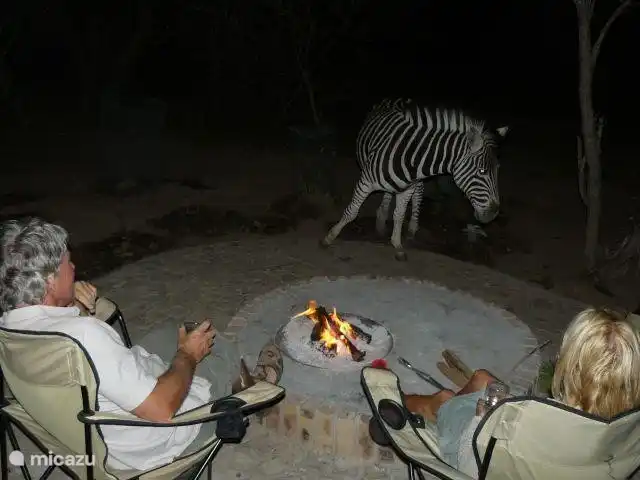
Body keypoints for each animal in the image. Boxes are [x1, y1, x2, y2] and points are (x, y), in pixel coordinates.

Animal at [321, 98, 509, 260]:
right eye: (482, 171)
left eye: (498, 170)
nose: (493, 213)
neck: (410, 156)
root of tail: (397, 99)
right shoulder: (366, 181)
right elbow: (352, 211)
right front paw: (329, 237)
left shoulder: (408, 189)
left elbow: (399, 215)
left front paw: (397, 245)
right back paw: (381, 219)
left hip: (418, 181)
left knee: (417, 195)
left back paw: (410, 227)